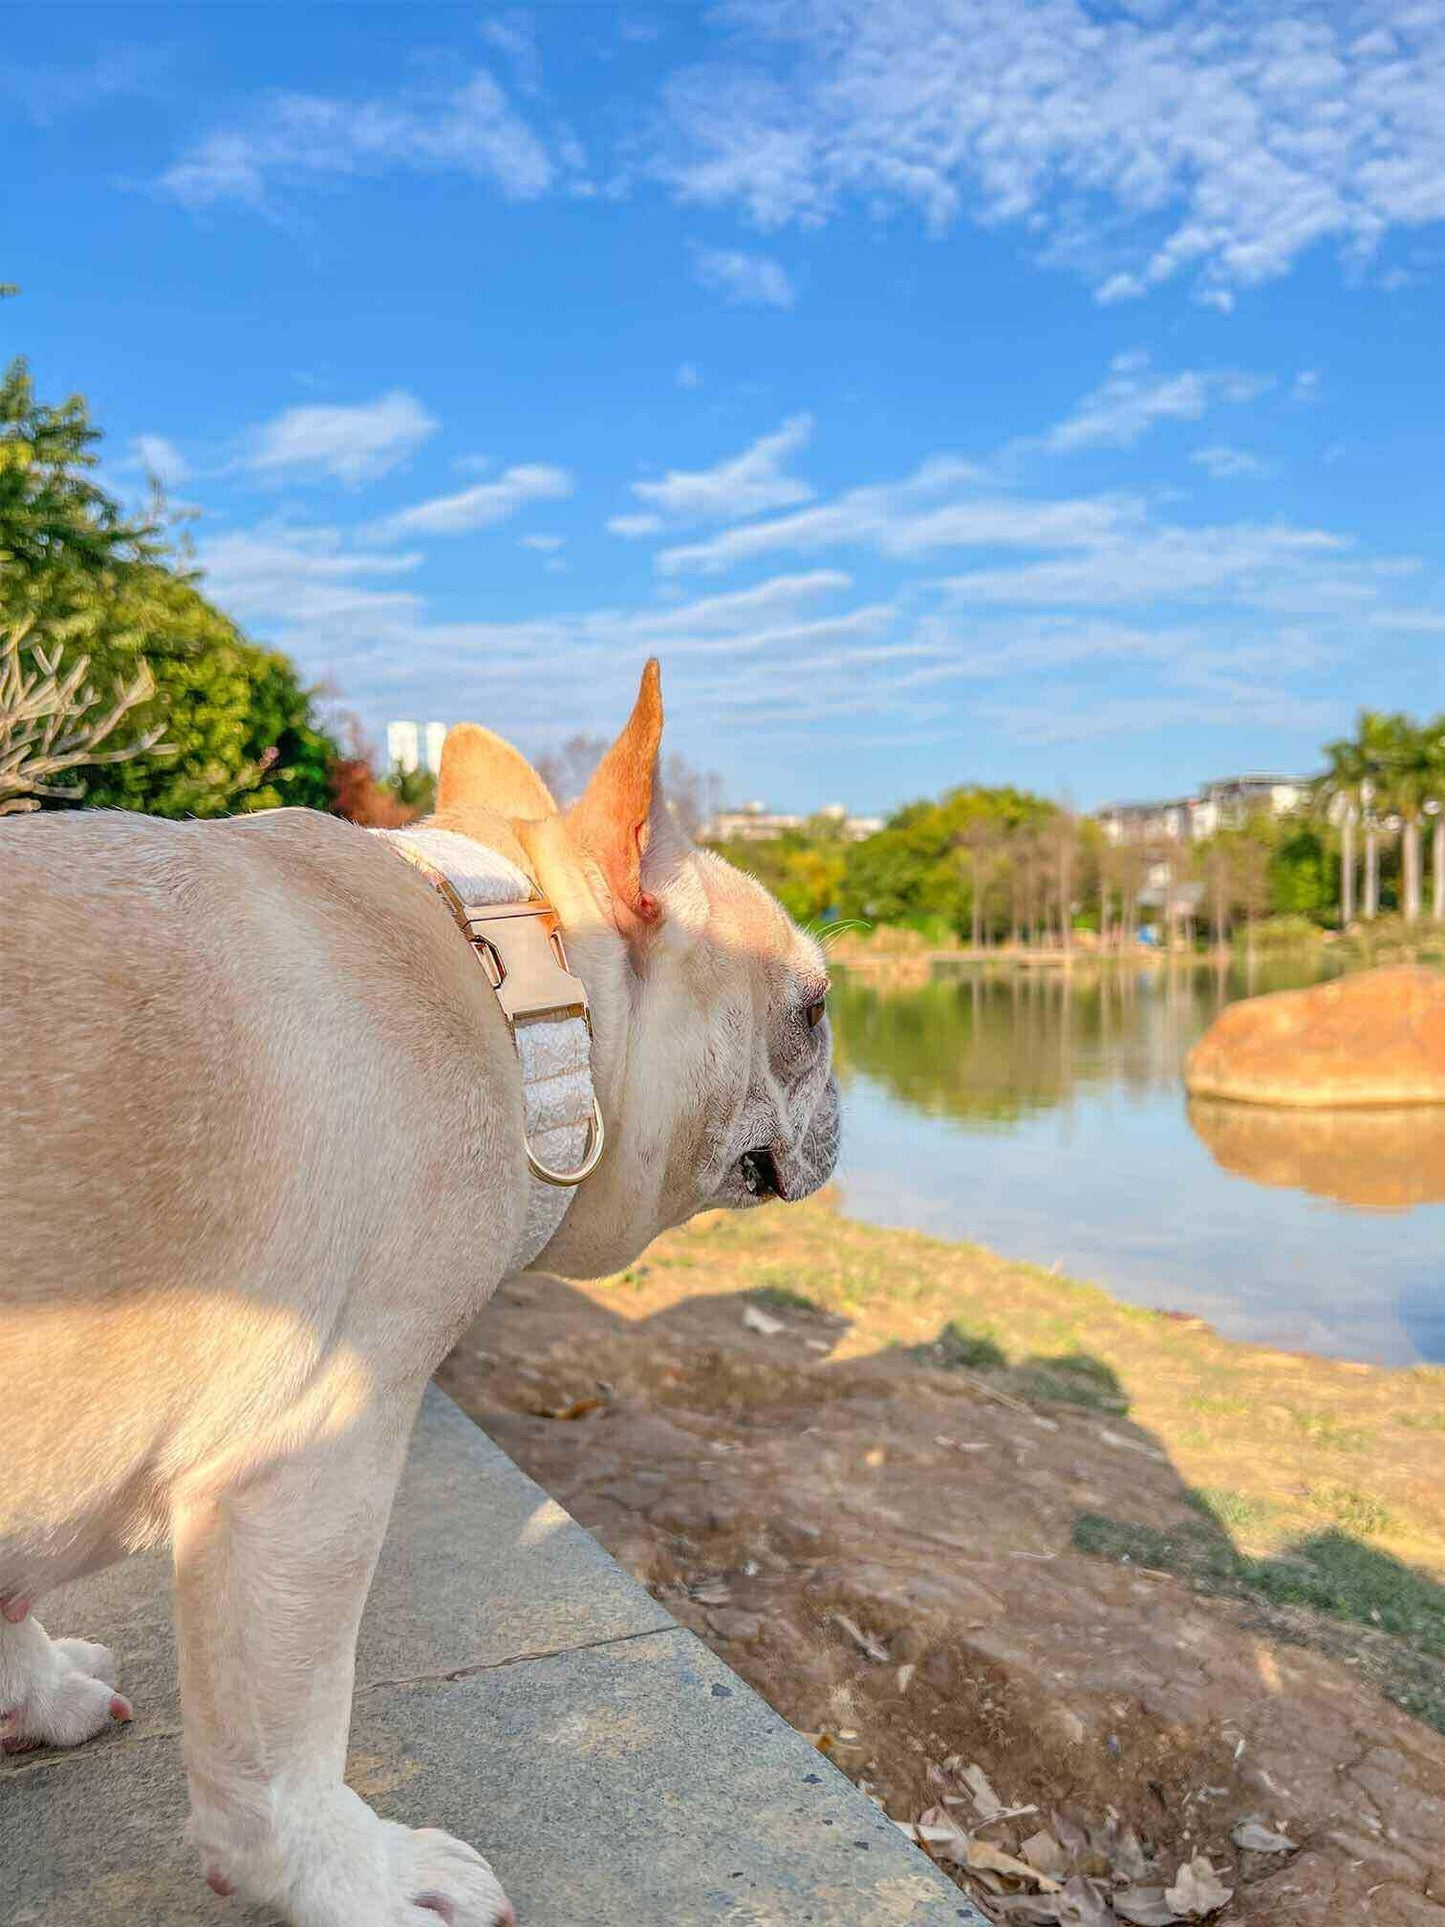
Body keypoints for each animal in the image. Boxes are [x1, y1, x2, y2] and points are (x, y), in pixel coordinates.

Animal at [0, 666, 843, 1927]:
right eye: (814, 1010)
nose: (850, 1099)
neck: (522, 995)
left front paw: (38, 1689)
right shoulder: (304, 1467)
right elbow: (283, 1753)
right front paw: (354, 1878)